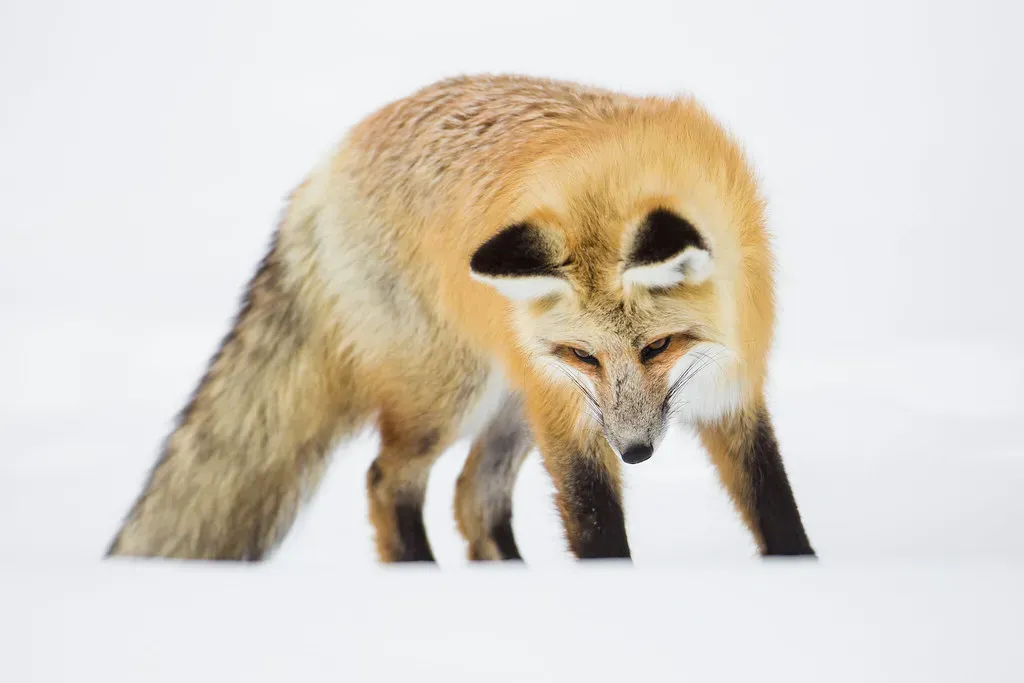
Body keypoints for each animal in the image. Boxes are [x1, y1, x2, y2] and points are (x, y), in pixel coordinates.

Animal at [107, 74, 815, 563]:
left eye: (659, 346)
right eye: (584, 354)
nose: (635, 451)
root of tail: (323, 169)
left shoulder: (732, 393)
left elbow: (778, 511)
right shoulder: (574, 417)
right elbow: (595, 528)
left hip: (514, 403)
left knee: (472, 499)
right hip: (451, 397)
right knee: (386, 481)